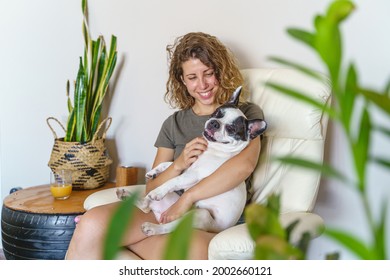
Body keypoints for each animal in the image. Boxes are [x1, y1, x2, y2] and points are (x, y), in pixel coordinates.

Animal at [117, 86, 266, 236]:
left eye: (231, 129)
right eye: (217, 113)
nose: (215, 123)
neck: (212, 148)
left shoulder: (193, 175)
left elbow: (173, 181)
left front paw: (157, 191)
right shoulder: (188, 165)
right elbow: (169, 164)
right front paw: (154, 172)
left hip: (199, 215)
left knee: (169, 227)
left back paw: (152, 227)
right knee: (146, 206)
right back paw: (125, 195)